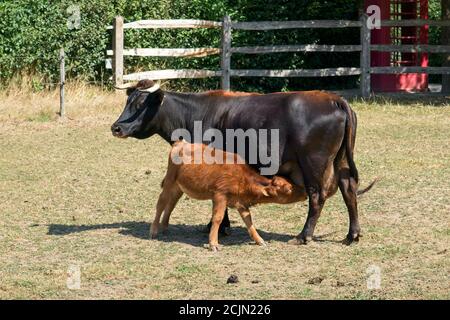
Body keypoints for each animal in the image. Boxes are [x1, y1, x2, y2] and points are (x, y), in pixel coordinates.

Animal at [149, 141, 308, 251]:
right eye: (288, 188)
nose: (305, 192)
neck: (243, 178)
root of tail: (181, 143)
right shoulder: (220, 195)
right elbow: (218, 218)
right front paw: (213, 244)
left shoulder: (241, 203)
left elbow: (248, 220)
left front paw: (259, 240)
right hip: (169, 181)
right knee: (161, 202)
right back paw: (154, 230)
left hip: (178, 188)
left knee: (171, 204)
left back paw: (164, 227)